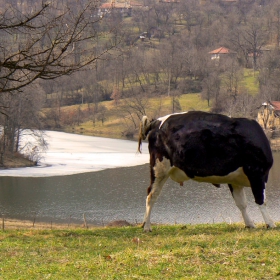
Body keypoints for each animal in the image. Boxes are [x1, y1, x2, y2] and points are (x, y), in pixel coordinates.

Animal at [138, 110, 276, 231]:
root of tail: (157, 121)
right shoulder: (257, 172)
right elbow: (261, 200)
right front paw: (270, 224)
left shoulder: (235, 180)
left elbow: (242, 203)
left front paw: (250, 224)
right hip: (159, 168)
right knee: (151, 195)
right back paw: (147, 227)